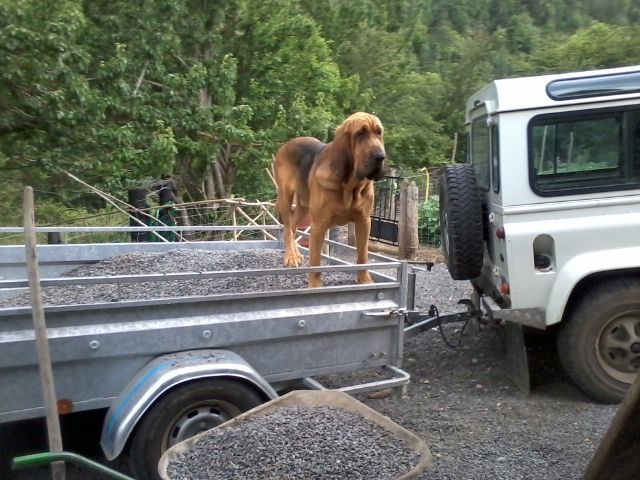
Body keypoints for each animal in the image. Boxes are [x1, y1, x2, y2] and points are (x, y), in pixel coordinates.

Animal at [274, 111, 384, 288]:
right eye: (361, 133)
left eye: (379, 132)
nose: (380, 157)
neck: (349, 185)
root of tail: (288, 143)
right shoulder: (319, 225)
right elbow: (315, 261)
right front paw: (314, 285)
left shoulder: (364, 221)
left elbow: (363, 255)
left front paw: (365, 280)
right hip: (285, 197)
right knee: (287, 227)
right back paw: (290, 256)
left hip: (303, 205)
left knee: (292, 225)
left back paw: (295, 253)